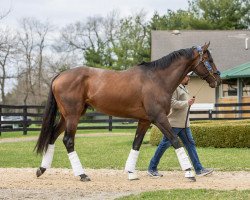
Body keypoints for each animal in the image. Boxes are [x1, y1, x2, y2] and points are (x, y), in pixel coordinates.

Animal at [34, 42, 221, 181]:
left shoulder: (145, 120)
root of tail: (60, 75)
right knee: (68, 141)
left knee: (52, 136)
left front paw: (131, 173)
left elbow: (136, 144)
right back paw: (82, 174)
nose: (218, 79)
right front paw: (189, 172)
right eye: (209, 59)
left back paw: (42, 169)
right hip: (73, 116)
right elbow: (175, 140)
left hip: (68, 116)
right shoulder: (159, 118)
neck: (157, 79)